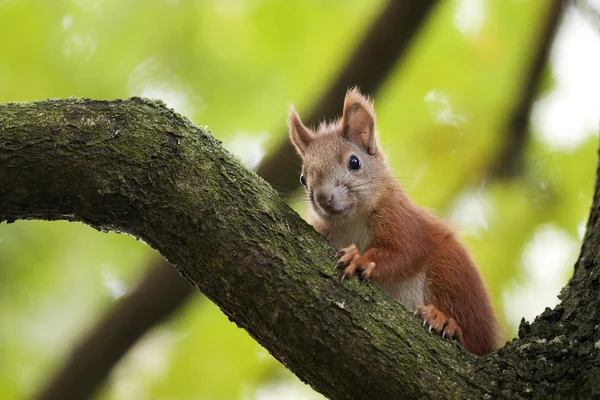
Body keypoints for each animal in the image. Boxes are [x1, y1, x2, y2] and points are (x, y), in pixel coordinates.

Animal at [288, 86, 500, 354]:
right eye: (303, 178)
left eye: (354, 162)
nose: (323, 198)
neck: (351, 220)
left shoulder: (402, 220)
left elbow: (405, 253)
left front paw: (359, 259)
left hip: (451, 276)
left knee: (472, 337)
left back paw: (446, 322)